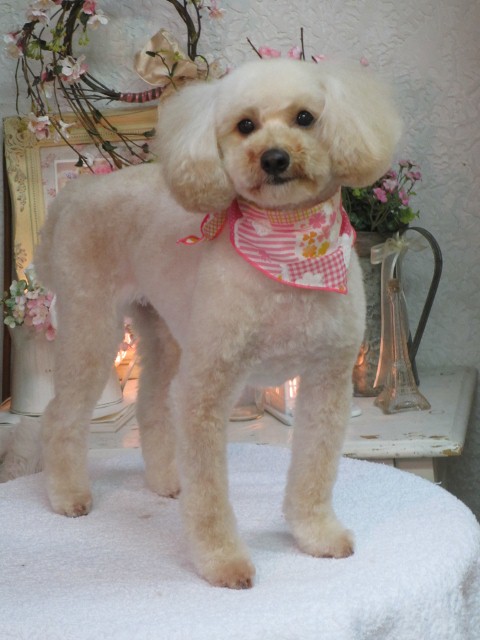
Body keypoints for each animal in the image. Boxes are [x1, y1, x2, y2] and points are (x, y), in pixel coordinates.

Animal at [35, 58, 401, 589]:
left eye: (306, 118)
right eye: (245, 125)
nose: (274, 158)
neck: (290, 248)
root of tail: (79, 190)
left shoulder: (327, 381)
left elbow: (314, 470)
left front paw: (316, 534)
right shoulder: (208, 386)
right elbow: (209, 496)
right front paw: (221, 561)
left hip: (163, 330)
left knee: (151, 403)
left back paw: (167, 480)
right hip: (92, 321)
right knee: (61, 413)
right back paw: (66, 494)